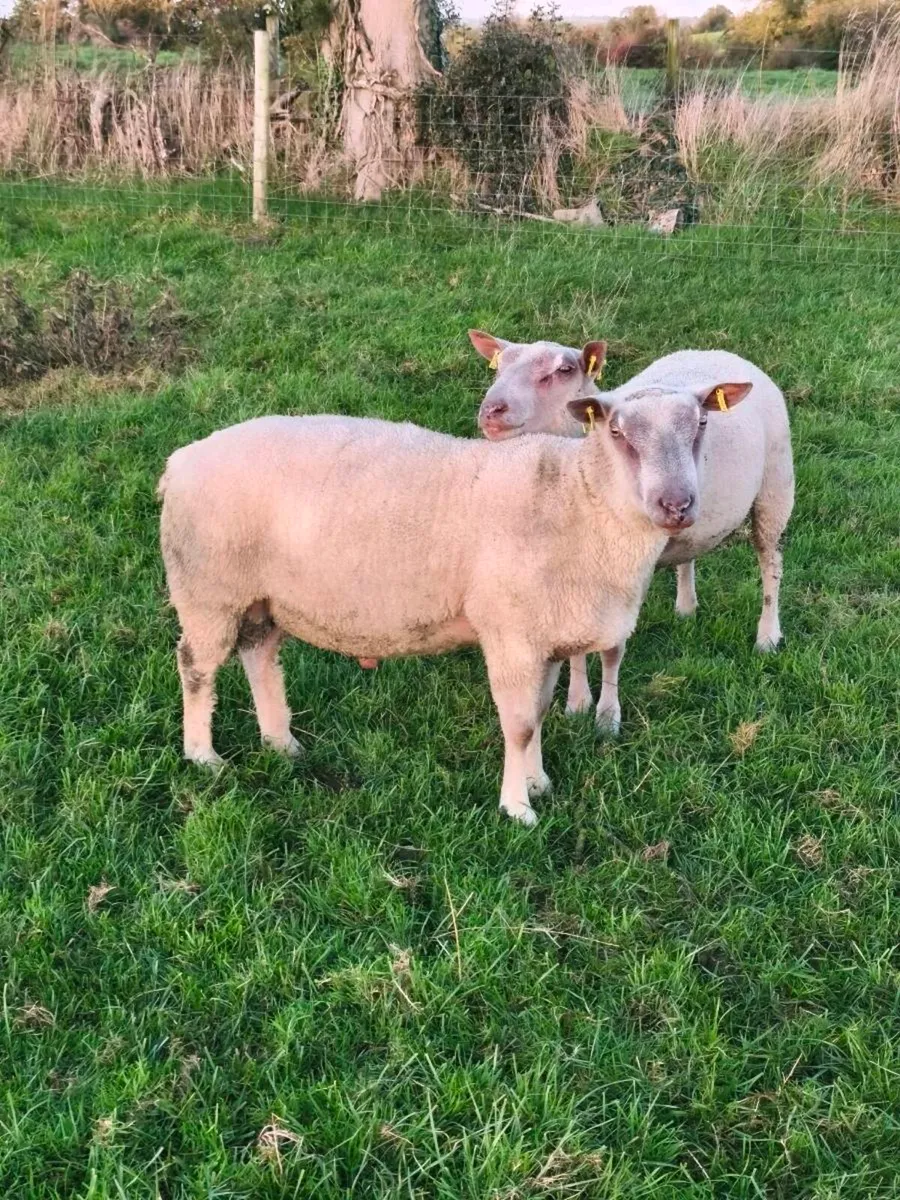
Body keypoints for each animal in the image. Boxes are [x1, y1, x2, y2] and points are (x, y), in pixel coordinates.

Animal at [159, 392, 752, 825]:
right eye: (618, 433)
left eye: (702, 423)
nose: (676, 506)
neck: (581, 501)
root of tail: (179, 460)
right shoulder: (512, 634)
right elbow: (518, 724)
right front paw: (517, 809)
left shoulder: (545, 636)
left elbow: (538, 713)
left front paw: (537, 782)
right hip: (207, 587)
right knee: (196, 666)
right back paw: (203, 757)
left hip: (258, 597)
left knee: (259, 656)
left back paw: (282, 745)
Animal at [471, 333, 795, 728]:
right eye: (497, 366)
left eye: (563, 370)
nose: (492, 411)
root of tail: (720, 353)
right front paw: (577, 703)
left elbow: (613, 648)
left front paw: (606, 717)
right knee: (688, 554)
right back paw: (686, 607)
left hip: (776, 486)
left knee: (771, 563)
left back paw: (768, 636)